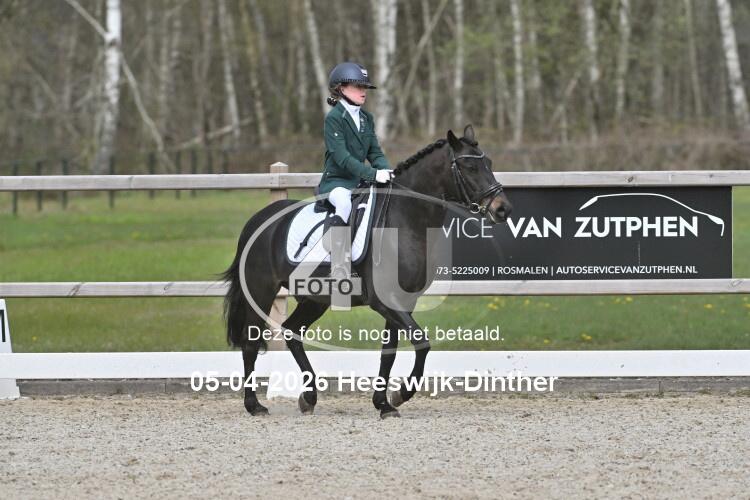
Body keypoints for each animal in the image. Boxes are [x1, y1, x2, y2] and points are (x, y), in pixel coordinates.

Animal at [222, 124, 513, 418]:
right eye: (469, 166)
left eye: (488, 163)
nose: (503, 209)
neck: (406, 220)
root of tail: (258, 219)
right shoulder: (384, 302)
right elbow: (421, 342)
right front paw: (400, 394)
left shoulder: (403, 302)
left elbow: (389, 352)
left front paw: (384, 403)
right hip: (261, 291)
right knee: (250, 343)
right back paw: (255, 405)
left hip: (315, 299)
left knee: (292, 331)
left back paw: (309, 397)